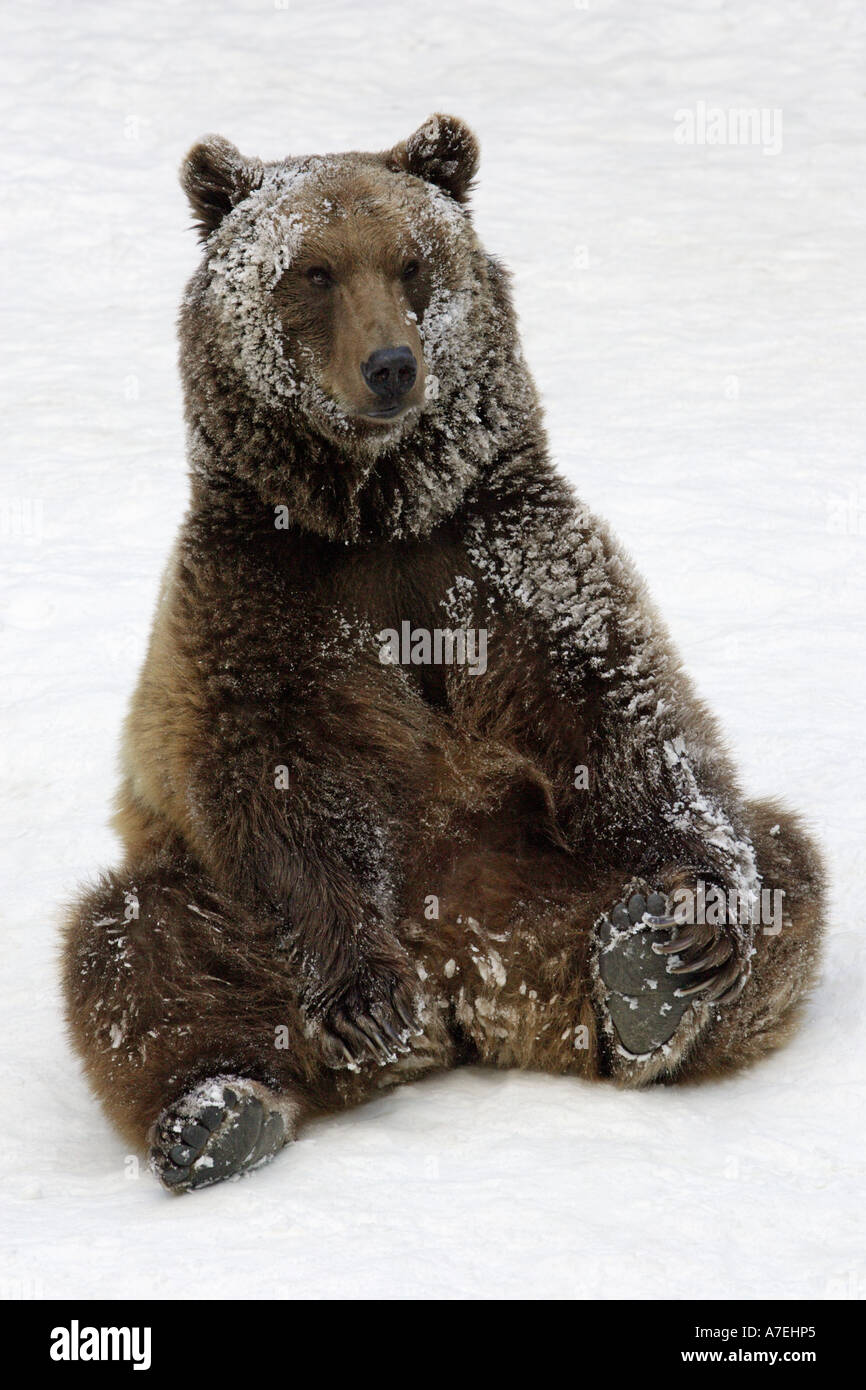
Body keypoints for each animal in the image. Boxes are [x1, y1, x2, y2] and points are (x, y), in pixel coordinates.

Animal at [62, 115, 825, 1192]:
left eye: (412, 262)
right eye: (312, 271)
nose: (391, 364)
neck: (375, 510)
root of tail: (465, 992)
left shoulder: (504, 559)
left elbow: (623, 709)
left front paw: (699, 917)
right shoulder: (259, 600)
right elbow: (270, 770)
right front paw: (360, 998)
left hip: (538, 886)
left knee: (788, 865)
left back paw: (647, 979)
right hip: (228, 911)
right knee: (135, 943)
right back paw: (218, 1113)